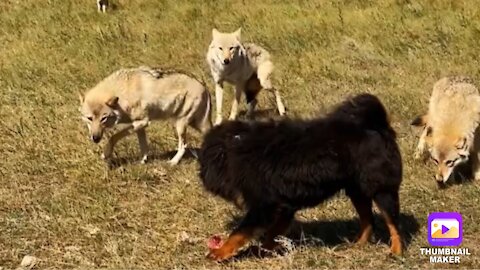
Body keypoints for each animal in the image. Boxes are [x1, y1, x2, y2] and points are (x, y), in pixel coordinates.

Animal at [79, 66, 211, 166]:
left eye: (103, 118)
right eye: (89, 118)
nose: (95, 138)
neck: (123, 93)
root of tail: (204, 85)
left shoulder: (142, 122)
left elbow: (113, 137)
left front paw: (106, 154)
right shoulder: (140, 126)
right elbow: (143, 146)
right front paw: (143, 162)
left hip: (180, 125)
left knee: (183, 145)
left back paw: (173, 162)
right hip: (195, 124)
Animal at [201, 94, 404, 260]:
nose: (201, 175)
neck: (237, 146)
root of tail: (378, 126)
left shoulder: (265, 206)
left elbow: (239, 232)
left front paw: (220, 252)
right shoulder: (284, 206)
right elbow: (272, 233)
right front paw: (268, 250)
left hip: (381, 190)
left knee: (393, 222)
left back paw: (396, 251)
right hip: (357, 191)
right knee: (368, 221)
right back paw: (357, 245)